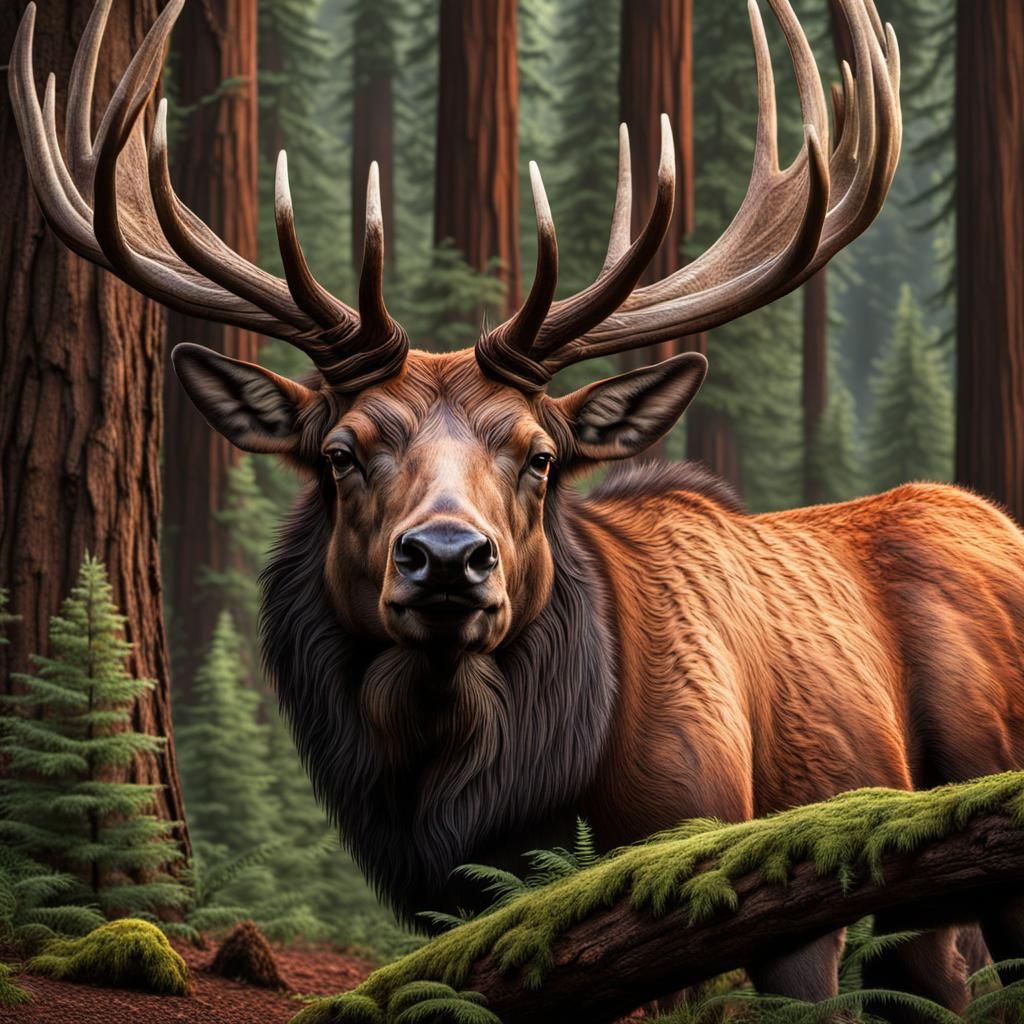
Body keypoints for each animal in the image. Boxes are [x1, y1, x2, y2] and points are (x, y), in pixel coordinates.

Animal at [10, 0, 1024, 1017]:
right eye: (341, 453)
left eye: (540, 456)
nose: (448, 556)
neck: (497, 797)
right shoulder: (451, 911)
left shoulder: (730, 858)